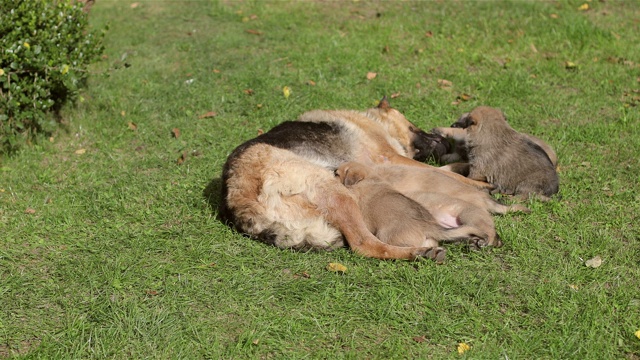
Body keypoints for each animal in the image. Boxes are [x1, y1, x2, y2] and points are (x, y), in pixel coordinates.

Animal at [220, 100, 490, 260]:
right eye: (414, 127)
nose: (444, 140)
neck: (373, 121)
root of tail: (240, 200)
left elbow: (444, 169)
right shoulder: (389, 157)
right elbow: (443, 172)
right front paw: (481, 183)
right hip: (337, 192)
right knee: (365, 245)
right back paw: (419, 252)